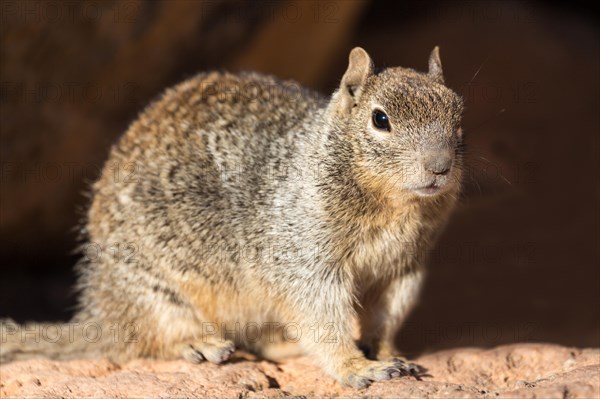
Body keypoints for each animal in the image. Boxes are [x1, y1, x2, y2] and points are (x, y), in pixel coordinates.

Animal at [1, 48, 464, 390]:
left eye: (459, 114)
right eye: (380, 119)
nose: (440, 166)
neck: (394, 208)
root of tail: (100, 312)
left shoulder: (404, 269)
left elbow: (386, 319)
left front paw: (388, 355)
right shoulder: (304, 261)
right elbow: (322, 319)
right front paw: (358, 367)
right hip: (153, 293)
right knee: (145, 339)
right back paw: (200, 344)